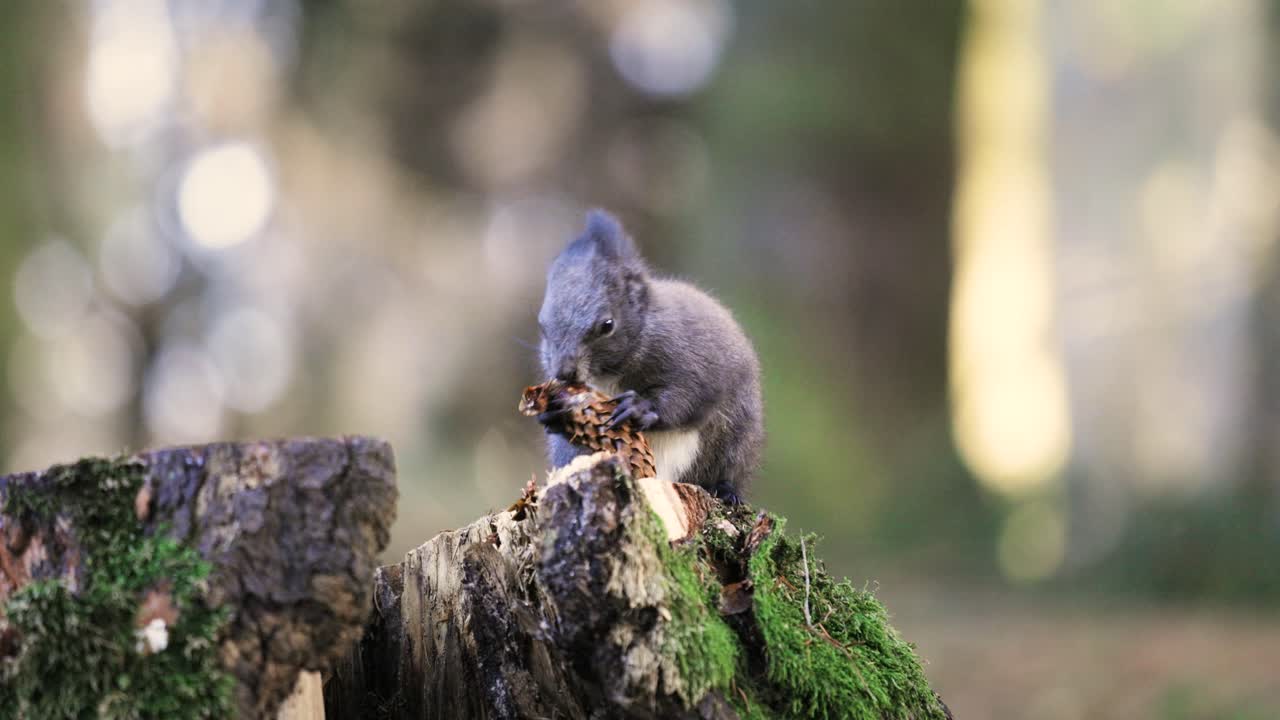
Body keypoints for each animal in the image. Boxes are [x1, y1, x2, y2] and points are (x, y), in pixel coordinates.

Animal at [535, 210, 764, 503]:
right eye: (542, 326)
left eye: (607, 325)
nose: (564, 373)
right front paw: (553, 411)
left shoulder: (691, 358)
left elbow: (688, 395)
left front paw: (639, 407)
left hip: (737, 438)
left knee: (729, 468)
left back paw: (726, 491)